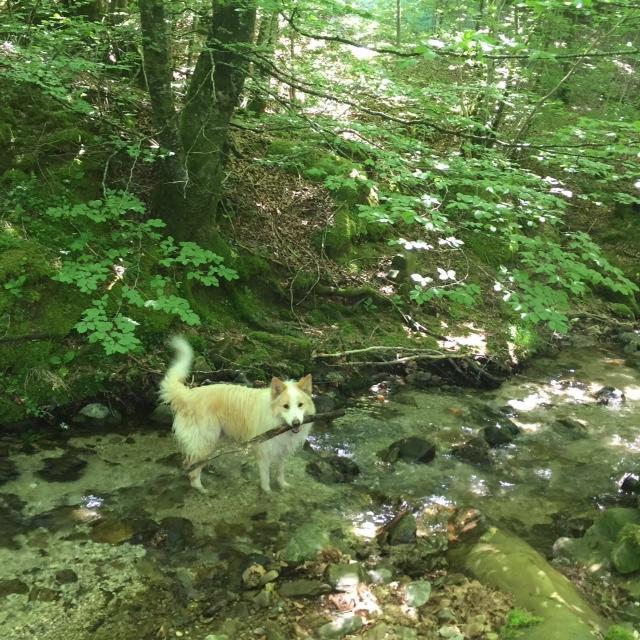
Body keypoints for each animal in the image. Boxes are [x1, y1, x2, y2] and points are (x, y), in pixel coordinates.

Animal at [158, 338, 312, 492]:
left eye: (300, 405)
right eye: (286, 406)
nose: (296, 423)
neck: (275, 418)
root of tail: (188, 394)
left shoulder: (281, 452)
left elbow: (280, 472)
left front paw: (283, 485)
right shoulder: (264, 452)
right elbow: (266, 479)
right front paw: (268, 492)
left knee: (188, 463)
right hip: (205, 441)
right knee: (194, 467)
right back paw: (200, 488)